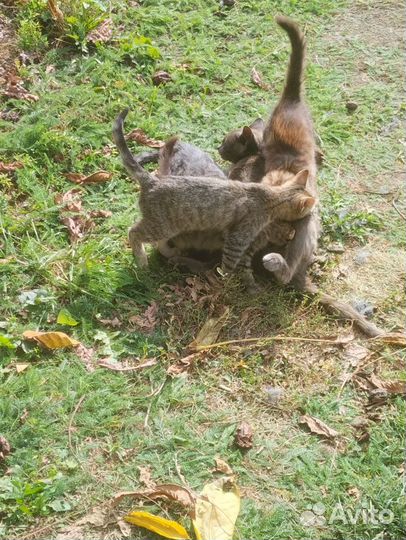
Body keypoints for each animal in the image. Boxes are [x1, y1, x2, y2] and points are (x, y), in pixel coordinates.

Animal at [112, 108, 316, 286]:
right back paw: (142, 260)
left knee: (160, 243)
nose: (219, 147)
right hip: (159, 225)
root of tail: (152, 180)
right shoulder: (238, 239)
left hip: (170, 227)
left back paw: (170, 252)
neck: (271, 197)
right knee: (133, 232)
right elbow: (230, 264)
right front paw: (231, 278)